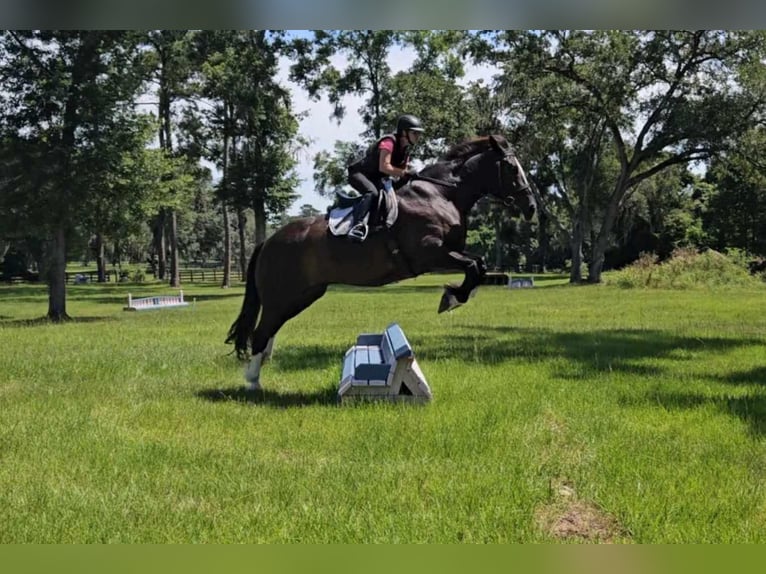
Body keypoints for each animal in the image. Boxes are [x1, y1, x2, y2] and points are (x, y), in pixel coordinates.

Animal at [228, 133, 536, 390]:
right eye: (512, 168)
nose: (531, 207)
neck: (442, 194)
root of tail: (269, 241)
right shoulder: (431, 253)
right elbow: (473, 266)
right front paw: (452, 298)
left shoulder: (447, 254)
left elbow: (479, 265)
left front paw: (456, 295)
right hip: (282, 295)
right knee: (261, 332)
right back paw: (253, 382)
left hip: (302, 295)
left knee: (270, 329)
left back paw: (260, 369)